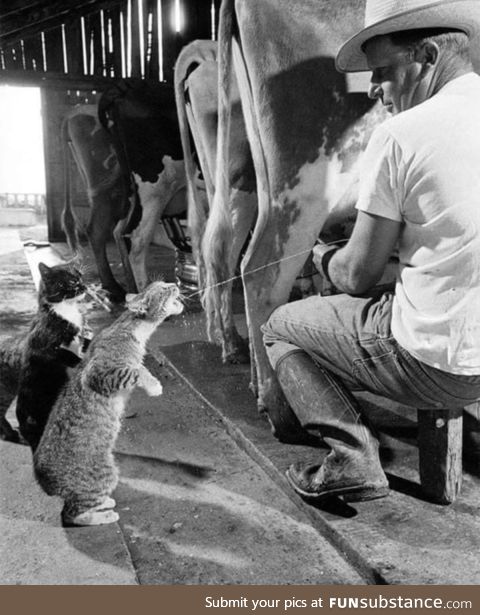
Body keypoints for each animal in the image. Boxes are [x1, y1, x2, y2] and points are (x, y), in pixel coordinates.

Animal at [33, 282, 184, 528]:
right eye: (163, 290)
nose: (175, 283)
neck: (132, 329)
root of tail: (43, 481)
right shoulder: (99, 373)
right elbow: (135, 369)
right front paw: (153, 385)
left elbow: (140, 366)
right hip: (105, 473)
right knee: (71, 514)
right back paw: (104, 514)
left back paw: (104, 504)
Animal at [209, 0, 386, 428]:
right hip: (304, 187)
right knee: (260, 270)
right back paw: (279, 407)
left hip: (256, 181)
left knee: (229, 255)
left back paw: (247, 371)